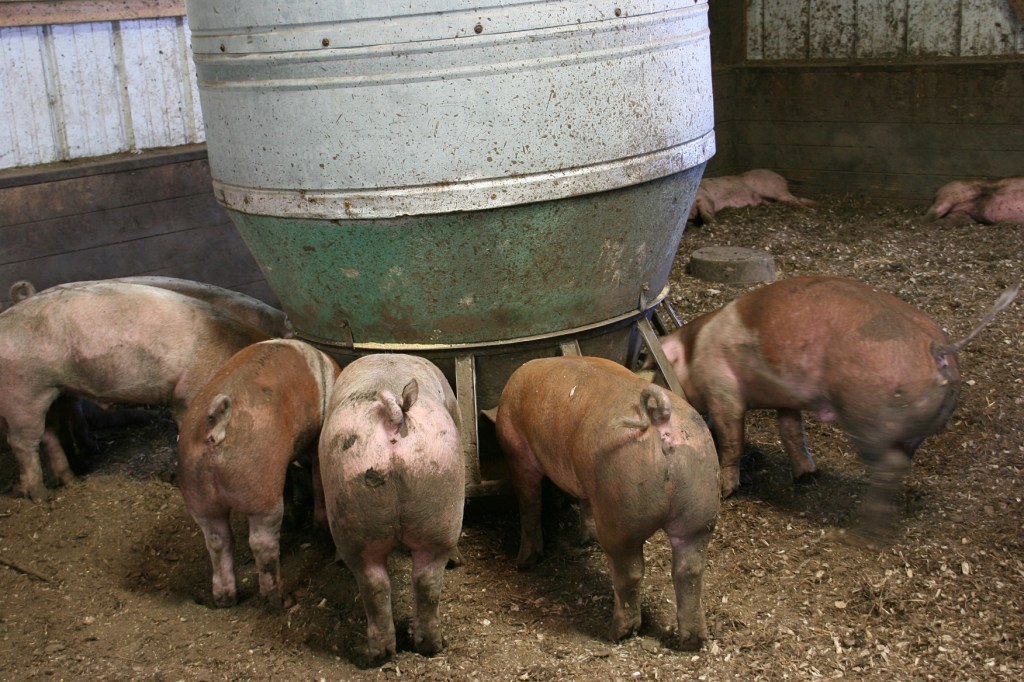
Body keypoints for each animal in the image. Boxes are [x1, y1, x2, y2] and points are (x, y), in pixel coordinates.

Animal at [0, 280, 271, 501]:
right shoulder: (187, 395)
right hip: (23, 392)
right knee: (22, 442)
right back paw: (40, 496)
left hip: (54, 390)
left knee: (50, 434)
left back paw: (70, 480)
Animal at [177, 339, 340, 609]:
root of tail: (217, 427)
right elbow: (317, 482)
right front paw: (319, 531)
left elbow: (289, 484)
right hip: (261, 493)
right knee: (261, 544)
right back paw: (283, 601)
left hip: (198, 493)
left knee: (217, 540)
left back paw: (226, 600)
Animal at [318, 353, 465, 663]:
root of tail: (393, 416)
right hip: (440, 505)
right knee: (423, 580)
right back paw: (425, 646)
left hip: (355, 513)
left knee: (378, 584)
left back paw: (379, 654)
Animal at [494, 355, 720, 650]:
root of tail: (660, 418)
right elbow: (584, 504)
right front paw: (584, 541)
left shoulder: (519, 457)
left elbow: (529, 505)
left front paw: (524, 563)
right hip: (699, 511)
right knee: (690, 571)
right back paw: (692, 641)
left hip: (620, 512)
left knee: (630, 572)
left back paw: (616, 633)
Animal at [658, 275, 1019, 537]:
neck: (695, 351)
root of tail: (937, 347)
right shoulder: (787, 397)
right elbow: (792, 431)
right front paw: (807, 475)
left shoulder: (723, 391)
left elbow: (732, 439)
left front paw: (726, 490)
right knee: (902, 462)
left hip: (869, 415)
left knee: (889, 466)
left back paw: (863, 529)